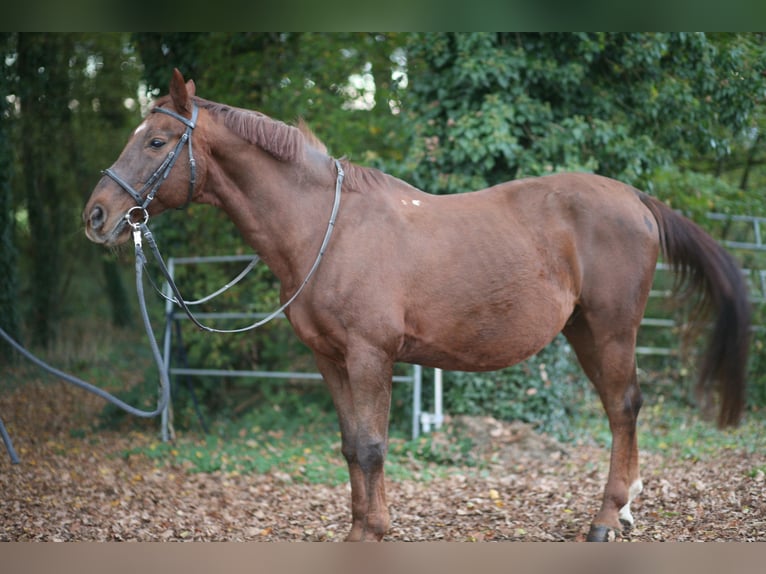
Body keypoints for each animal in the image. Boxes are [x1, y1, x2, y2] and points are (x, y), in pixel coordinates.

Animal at [82, 70, 752, 544]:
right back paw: (625, 509)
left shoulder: (370, 357)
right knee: (620, 410)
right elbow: (350, 446)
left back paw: (608, 519)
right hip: (584, 330)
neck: (327, 228)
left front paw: (374, 533)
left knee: (624, 407)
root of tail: (634, 198)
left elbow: (373, 446)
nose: (97, 215)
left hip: (611, 328)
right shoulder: (331, 360)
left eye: (158, 141)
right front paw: (359, 529)